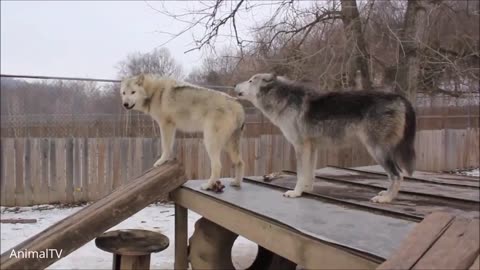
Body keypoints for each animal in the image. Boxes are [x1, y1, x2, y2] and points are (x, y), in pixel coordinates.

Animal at [120, 74, 248, 190]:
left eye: (133, 92)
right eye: (124, 93)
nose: (125, 104)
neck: (153, 93)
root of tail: (238, 105)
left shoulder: (166, 125)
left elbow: (165, 146)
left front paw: (161, 161)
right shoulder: (171, 127)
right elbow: (169, 146)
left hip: (210, 142)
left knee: (217, 166)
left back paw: (208, 186)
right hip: (228, 146)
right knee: (240, 162)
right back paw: (237, 183)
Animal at [234, 73, 414, 204]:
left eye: (250, 80)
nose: (235, 85)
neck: (283, 100)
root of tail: (399, 97)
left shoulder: (300, 146)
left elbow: (300, 173)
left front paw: (295, 192)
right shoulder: (312, 147)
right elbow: (309, 173)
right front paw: (306, 190)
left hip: (377, 150)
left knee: (397, 174)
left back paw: (387, 198)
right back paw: (387, 194)